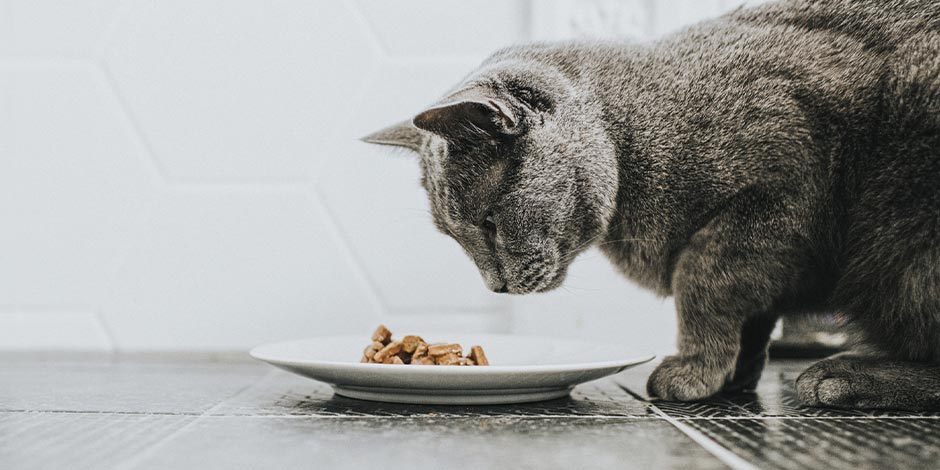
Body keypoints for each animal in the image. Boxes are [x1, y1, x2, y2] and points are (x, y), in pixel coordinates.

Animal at [362, 0, 940, 412]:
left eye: (489, 222)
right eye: (454, 237)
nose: (494, 287)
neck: (629, 144)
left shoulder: (783, 183)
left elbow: (702, 280)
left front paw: (694, 368)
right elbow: (753, 313)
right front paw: (732, 375)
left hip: (904, 232)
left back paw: (847, 375)